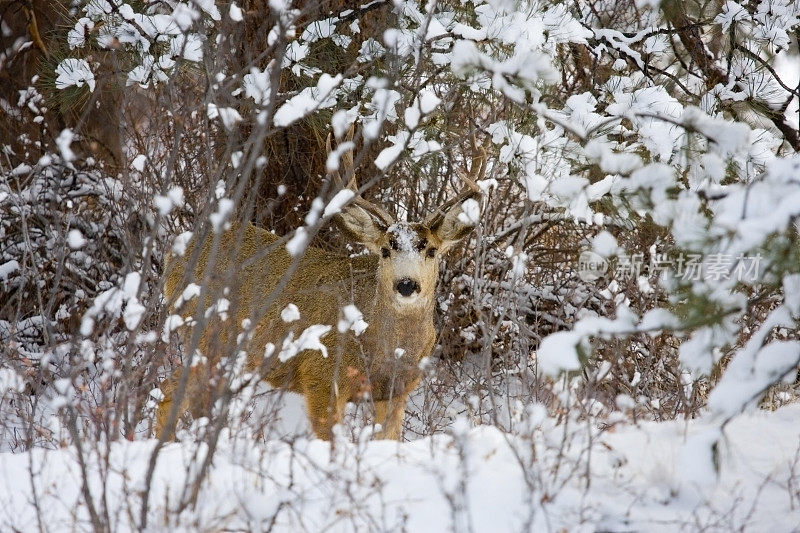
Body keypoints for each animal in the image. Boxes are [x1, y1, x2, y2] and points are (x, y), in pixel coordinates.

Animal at [153, 134, 484, 440]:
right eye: (385, 250)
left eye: (431, 250)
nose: (405, 284)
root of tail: (176, 251)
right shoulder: (320, 378)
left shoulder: (395, 391)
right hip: (203, 335)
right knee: (169, 390)